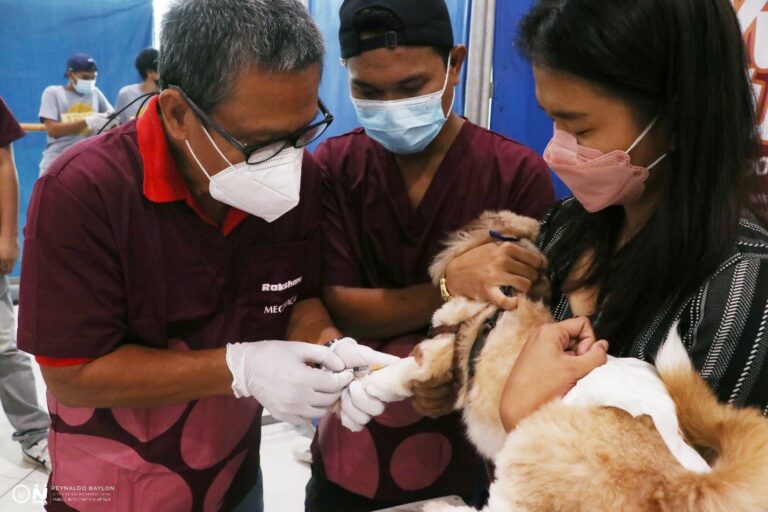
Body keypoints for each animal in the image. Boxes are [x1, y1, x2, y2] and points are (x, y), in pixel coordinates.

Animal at [358, 210, 768, 510]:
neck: (504, 299)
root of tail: (680, 485)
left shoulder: (446, 346)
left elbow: (400, 368)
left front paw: (365, 387)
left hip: (525, 466)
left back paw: (443, 507)